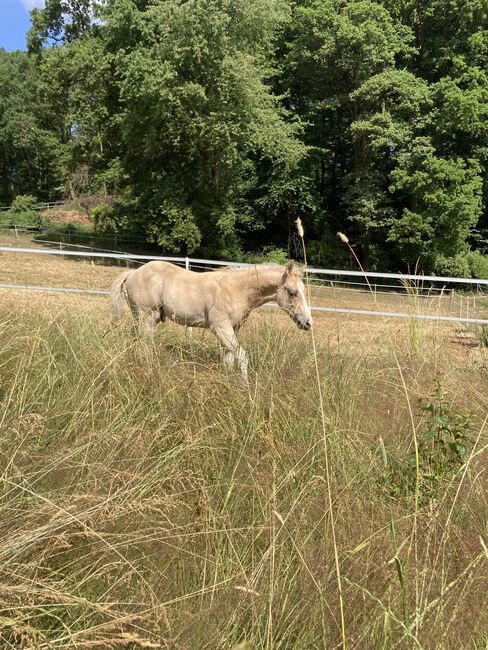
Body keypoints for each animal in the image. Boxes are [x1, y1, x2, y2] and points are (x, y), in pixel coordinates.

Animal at [109, 260, 312, 378]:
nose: (308, 323)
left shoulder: (232, 329)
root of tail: (132, 273)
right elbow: (242, 357)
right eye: (292, 293)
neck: (236, 289)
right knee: (145, 343)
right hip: (147, 316)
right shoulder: (221, 328)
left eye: (304, 291)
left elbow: (229, 360)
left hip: (146, 318)